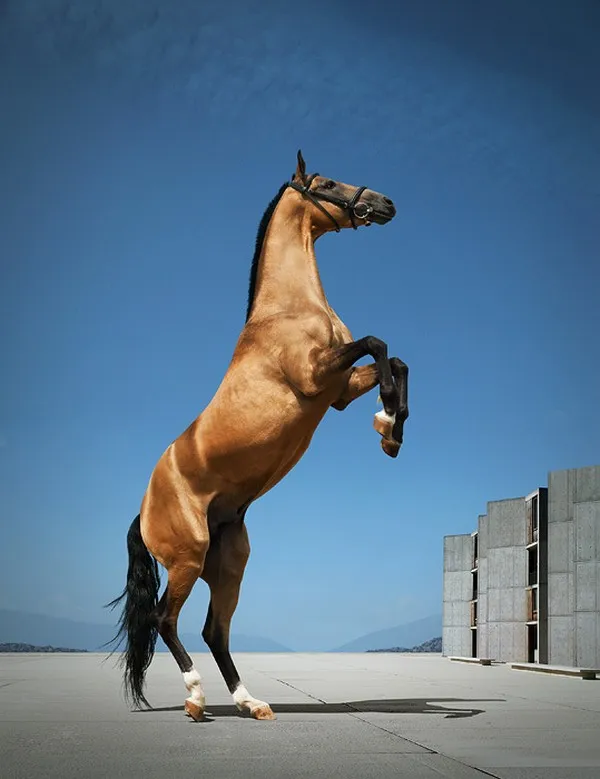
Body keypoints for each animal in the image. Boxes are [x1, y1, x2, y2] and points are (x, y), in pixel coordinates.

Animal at [106, 150, 409, 722]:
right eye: (326, 182)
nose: (385, 203)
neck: (288, 310)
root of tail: (143, 510)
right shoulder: (315, 376)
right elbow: (378, 343)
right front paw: (387, 424)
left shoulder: (335, 391)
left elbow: (396, 360)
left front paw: (390, 431)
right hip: (188, 556)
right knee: (165, 620)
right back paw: (196, 700)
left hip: (229, 563)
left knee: (213, 630)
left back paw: (251, 703)